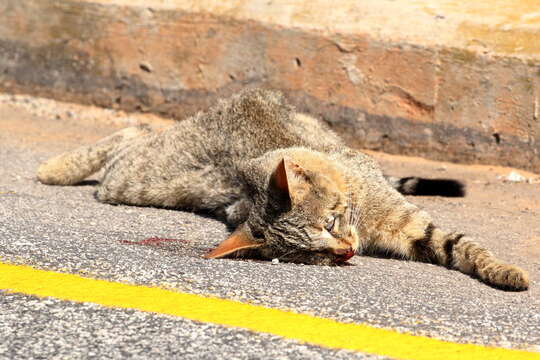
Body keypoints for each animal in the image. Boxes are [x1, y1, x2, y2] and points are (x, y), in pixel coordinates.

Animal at [37, 88, 528, 292]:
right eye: (313, 258)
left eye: (331, 222)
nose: (348, 251)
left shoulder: (414, 225)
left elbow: (467, 247)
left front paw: (506, 271)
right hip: (144, 180)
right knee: (130, 137)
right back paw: (57, 167)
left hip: (139, 176)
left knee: (133, 129)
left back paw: (51, 167)